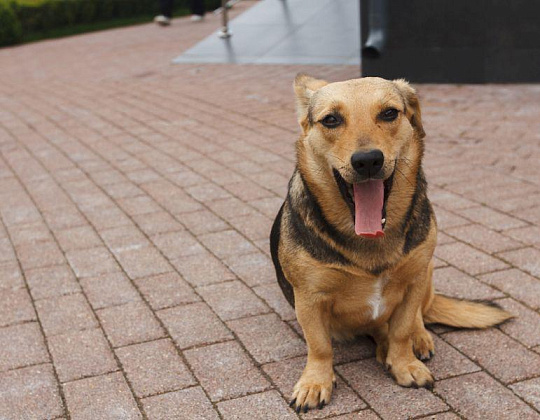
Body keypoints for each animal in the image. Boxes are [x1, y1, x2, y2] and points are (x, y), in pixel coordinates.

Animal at [270, 75, 516, 414]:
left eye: (389, 113)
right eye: (331, 120)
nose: (367, 161)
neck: (370, 240)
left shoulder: (413, 281)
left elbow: (402, 330)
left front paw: (403, 363)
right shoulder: (308, 297)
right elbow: (319, 346)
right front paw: (315, 381)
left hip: (428, 270)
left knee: (416, 318)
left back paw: (417, 339)